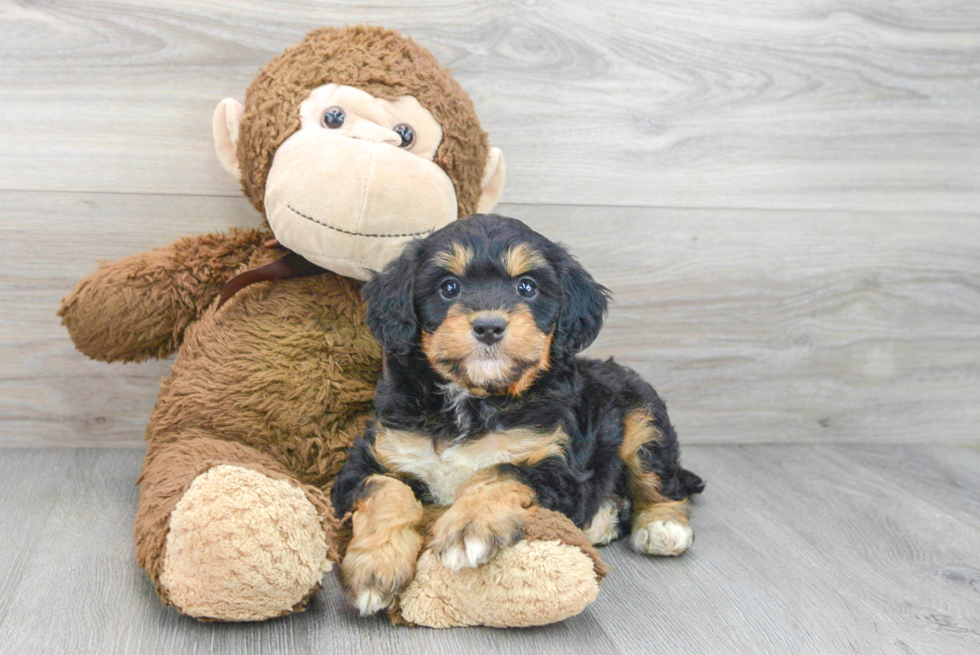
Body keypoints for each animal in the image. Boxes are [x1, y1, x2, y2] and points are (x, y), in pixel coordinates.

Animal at [334, 215, 700, 616]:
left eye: (527, 287)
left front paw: (468, 526)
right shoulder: (374, 455)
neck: (474, 400)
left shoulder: (554, 466)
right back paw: (603, 519)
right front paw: (375, 567)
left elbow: (499, 472)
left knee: (659, 481)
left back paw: (662, 525)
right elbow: (387, 490)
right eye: (449, 287)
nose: (489, 326)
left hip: (642, 419)